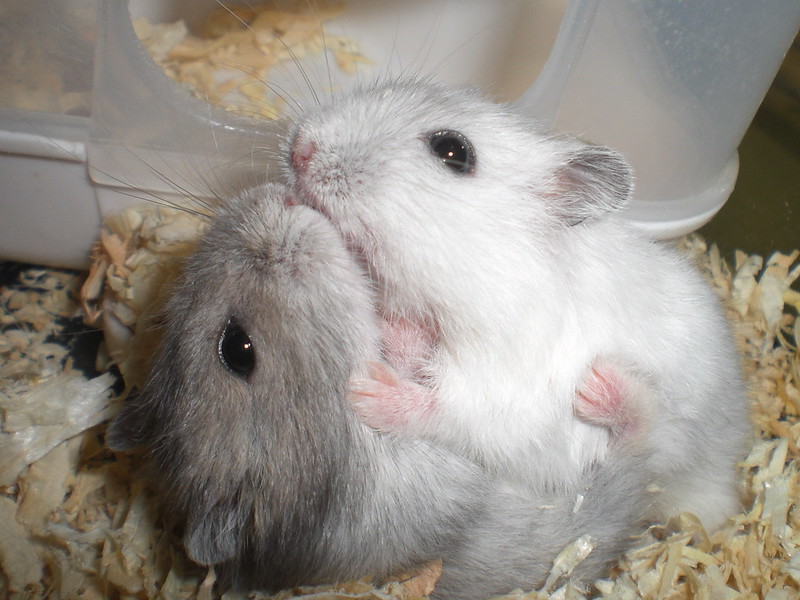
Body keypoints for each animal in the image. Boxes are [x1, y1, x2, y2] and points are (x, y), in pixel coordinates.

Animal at [107, 182, 654, 598]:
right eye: (237, 349)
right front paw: (394, 340)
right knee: (636, 439)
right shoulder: (440, 475)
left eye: (168, 305)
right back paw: (600, 389)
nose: (274, 194)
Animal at [284, 78, 751, 530]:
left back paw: (602, 389)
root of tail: (732, 466)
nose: (299, 147)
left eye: (452, 150)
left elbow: (452, 410)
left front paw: (366, 389)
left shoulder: (510, 386)